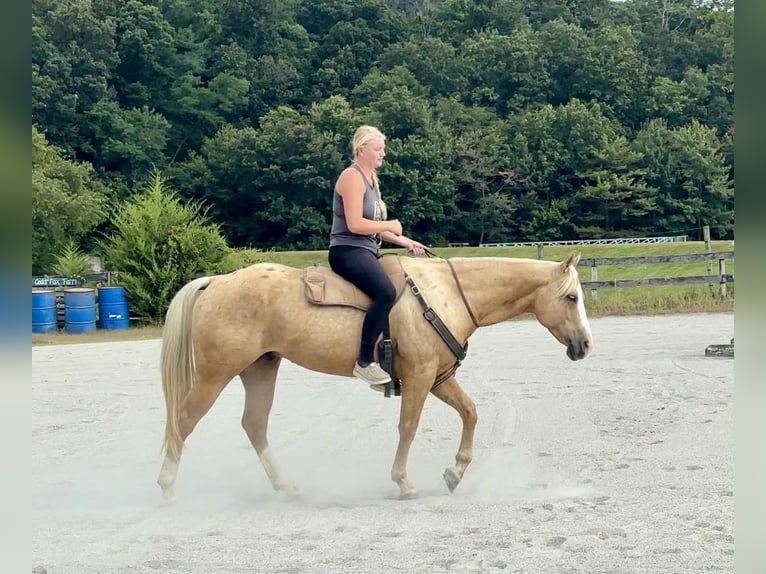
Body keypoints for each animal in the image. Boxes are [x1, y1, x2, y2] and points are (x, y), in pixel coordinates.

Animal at [156, 251, 593, 501]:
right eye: (571, 297)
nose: (586, 345)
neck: (445, 295)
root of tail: (217, 281)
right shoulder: (419, 379)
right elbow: (409, 427)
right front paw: (403, 482)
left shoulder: (438, 378)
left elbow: (470, 413)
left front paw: (454, 474)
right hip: (215, 374)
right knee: (183, 421)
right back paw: (167, 488)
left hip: (261, 368)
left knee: (254, 425)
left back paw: (287, 487)